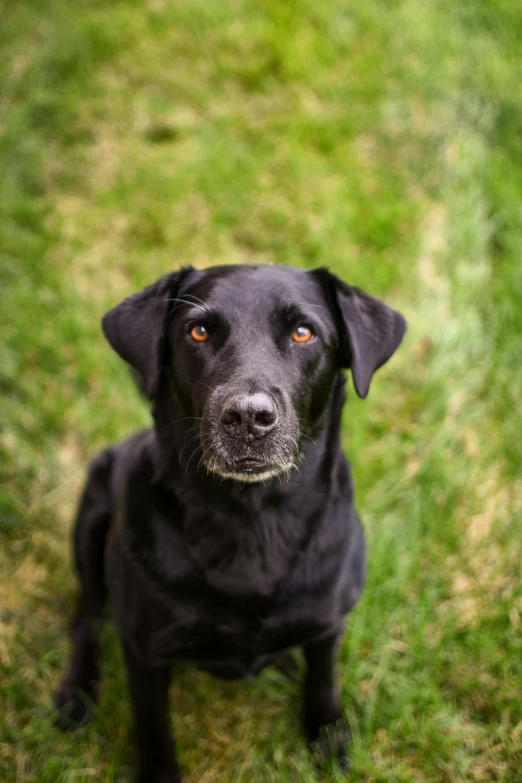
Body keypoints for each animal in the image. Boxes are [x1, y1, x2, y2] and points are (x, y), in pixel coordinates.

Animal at [55, 264, 406, 776]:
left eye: (304, 332)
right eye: (198, 331)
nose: (248, 417)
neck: (251, 518)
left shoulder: (327, 620)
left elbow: (324, 679)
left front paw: (327, 738)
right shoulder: (145, 648)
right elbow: (152, 722)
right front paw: (159, 772)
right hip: (92, 512)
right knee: (87, 612)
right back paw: (77, 692)